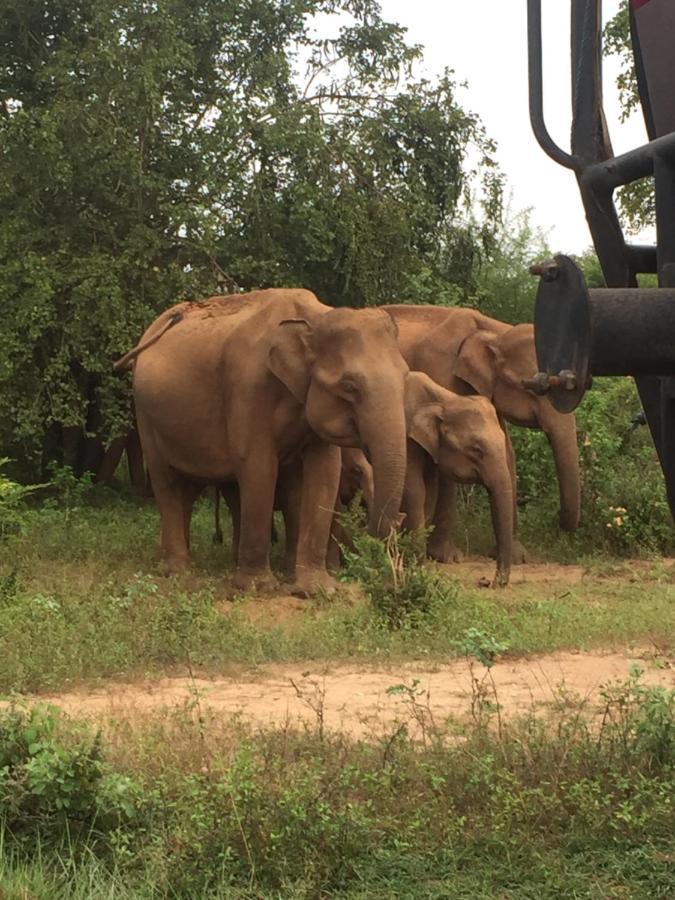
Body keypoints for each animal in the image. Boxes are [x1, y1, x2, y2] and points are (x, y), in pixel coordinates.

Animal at [114, 290, 410, 596]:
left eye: (405, 378)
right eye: (349, 387)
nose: (390, 582)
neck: (315, 317)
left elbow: (324, 472)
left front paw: (316, 589)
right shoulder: (248, 385)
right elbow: (258, 465)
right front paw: (259, 587)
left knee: (190, 489)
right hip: (145, 414)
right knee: (167, 482)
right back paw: (178, 572)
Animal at [404, 370, 516, 588]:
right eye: (476, 449)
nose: (490, 582)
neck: (445, 401)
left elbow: (429, 491)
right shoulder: (406, 440)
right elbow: (415, 489)